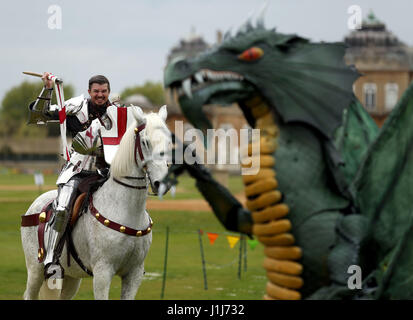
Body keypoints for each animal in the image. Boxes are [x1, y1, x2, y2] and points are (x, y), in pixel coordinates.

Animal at [19, 105, 169, 300]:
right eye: (145, 142)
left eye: (169, 142)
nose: (162, 183)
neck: (126, 210)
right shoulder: (103, 272)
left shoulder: (134, 273)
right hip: (35, 270)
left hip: (71, 277)